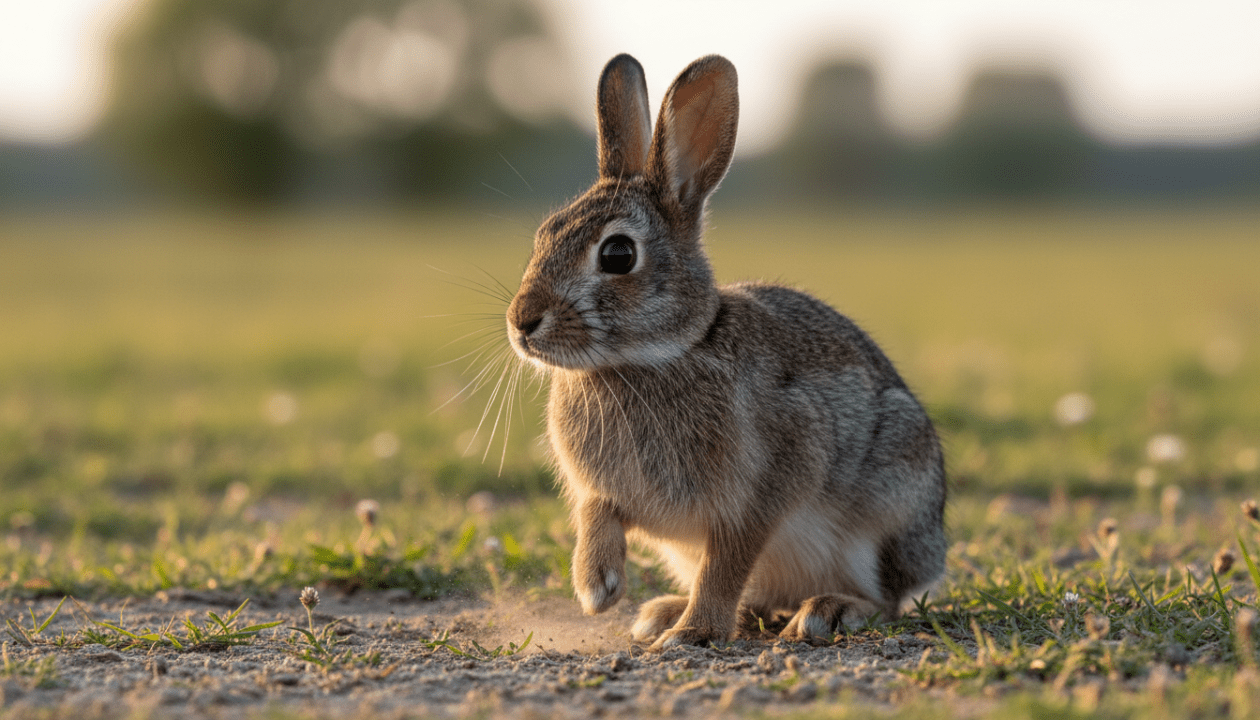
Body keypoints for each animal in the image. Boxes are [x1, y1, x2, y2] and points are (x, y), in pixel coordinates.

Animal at [505, 53, 946, 650]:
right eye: (544, 234)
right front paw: (596, 585)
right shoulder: (602, 494)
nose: (521, 322)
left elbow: (728, 562)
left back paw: (828, 611)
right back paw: (663, 610)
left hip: (890, 509)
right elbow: (598, 513)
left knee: (888, 599)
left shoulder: (764, 488)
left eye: (618, 254)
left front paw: (695, 632)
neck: (658, 354)